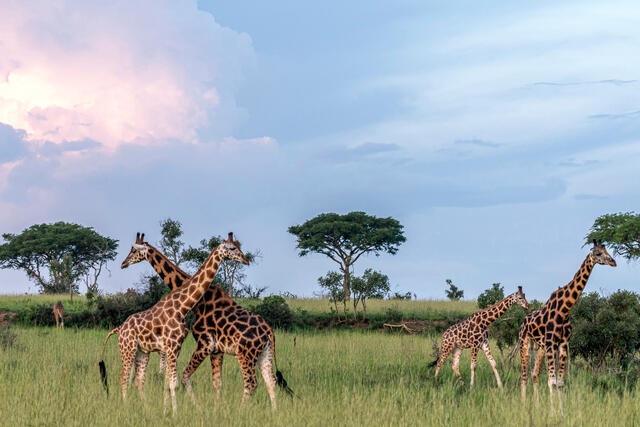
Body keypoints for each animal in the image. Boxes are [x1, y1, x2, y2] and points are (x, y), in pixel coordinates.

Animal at [99, 232, 249, 415]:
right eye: (232, 248)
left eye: (134, 250)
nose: (123, 263)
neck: (183, 306)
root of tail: (119, 328)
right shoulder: (172, 347)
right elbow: (172, 383)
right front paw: (174, 413)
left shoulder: (176, 347)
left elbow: (170, 382)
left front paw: (168, 411)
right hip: (128, 348)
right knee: (124, 378)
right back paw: (127, 408)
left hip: (142, 351)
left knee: (138, 380)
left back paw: (147, 408)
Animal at [120, 232, 293, 407]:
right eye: (234, 247)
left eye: (133, 250)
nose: (123, 263)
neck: (198, 302)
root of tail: (269, 331)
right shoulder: (216, 350)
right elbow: (217, 383)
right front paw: (216, 408)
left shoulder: (205, 344)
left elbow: (184, 377)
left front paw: (197, 408)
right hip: (264, 353)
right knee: (271, 382)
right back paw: (274, 411)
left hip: (245, 354)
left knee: (251, 383)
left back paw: (241, 410)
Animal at [519, 240, 616, 409]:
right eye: (598, 253)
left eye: (606, 250)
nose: (613, 262)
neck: (565, 310)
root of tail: (523, 322)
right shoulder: (551, 343)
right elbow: (552, 381)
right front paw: (552, 411)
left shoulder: (563, 344)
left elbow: (560, 382)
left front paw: (561, 410)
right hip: (524, 343)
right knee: (524, 376)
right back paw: (524, 406)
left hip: (540, 347)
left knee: (534, 374)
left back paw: (537, 406)